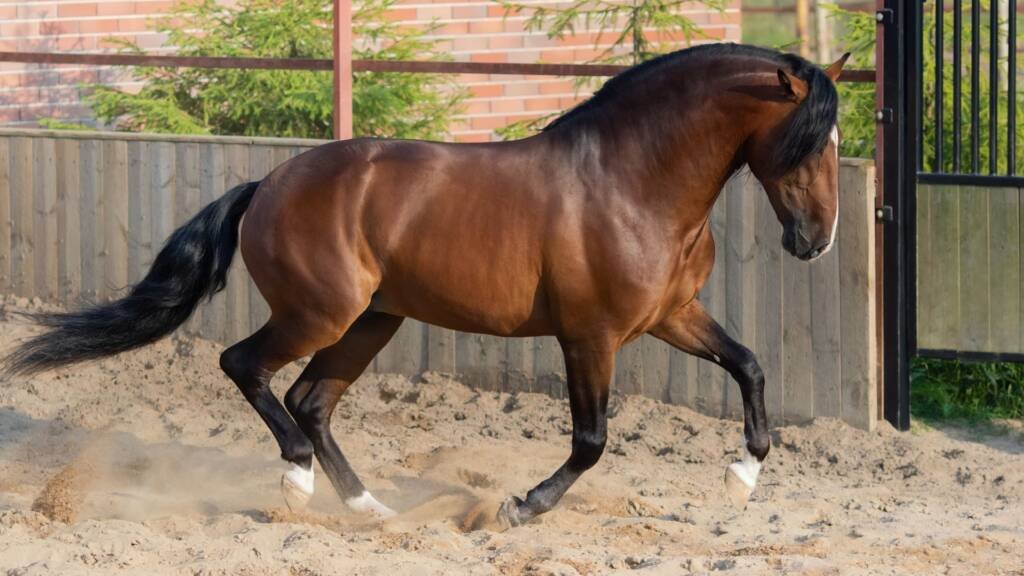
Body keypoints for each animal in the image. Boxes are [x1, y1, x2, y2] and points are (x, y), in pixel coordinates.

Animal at [3, 44, 849, 528]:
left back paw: (369, 507)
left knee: (310, 400)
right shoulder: (590, 335)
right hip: (322, 313)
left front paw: (743, 477)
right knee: (246, 368)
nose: (815, 242)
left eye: (835, 142)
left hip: (372, 321)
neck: (629, 181)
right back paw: (297, 485)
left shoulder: (672, 313)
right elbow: (592, 440)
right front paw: (519, 507)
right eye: (806, 140)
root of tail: (267, 184)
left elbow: (750, 365)